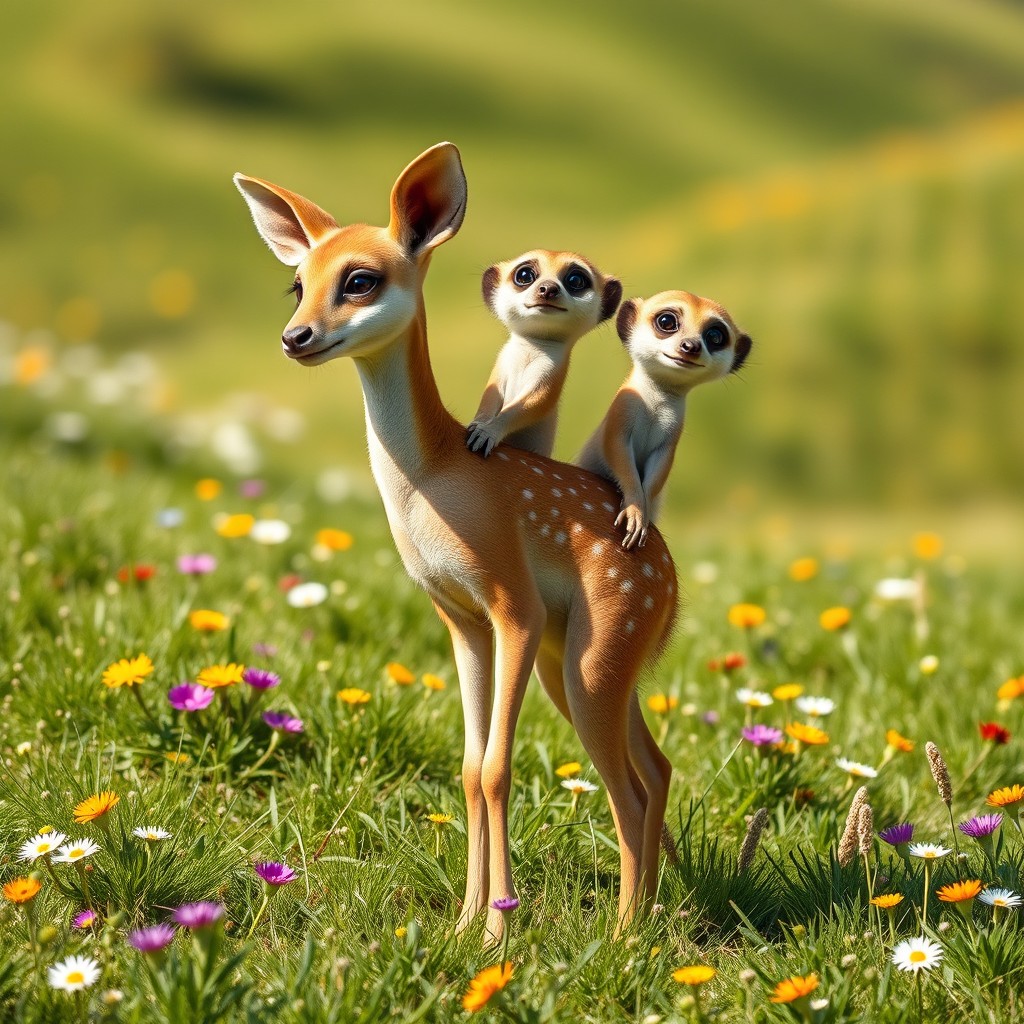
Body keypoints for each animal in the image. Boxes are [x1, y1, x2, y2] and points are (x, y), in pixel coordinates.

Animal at [234, 143, 677, 943]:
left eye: (360, 279)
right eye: (296, 284)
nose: (295, 338)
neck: (435, 479)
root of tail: (675, 585)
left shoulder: (512, 603)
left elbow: (498, 767)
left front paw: (499, 929)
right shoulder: (460, 618)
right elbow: (470, 769)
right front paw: (467, 920)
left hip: (594, 651)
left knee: (626, 788)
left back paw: (625, 935)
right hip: (581, 662)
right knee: (655, 768)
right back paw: (647, 912)